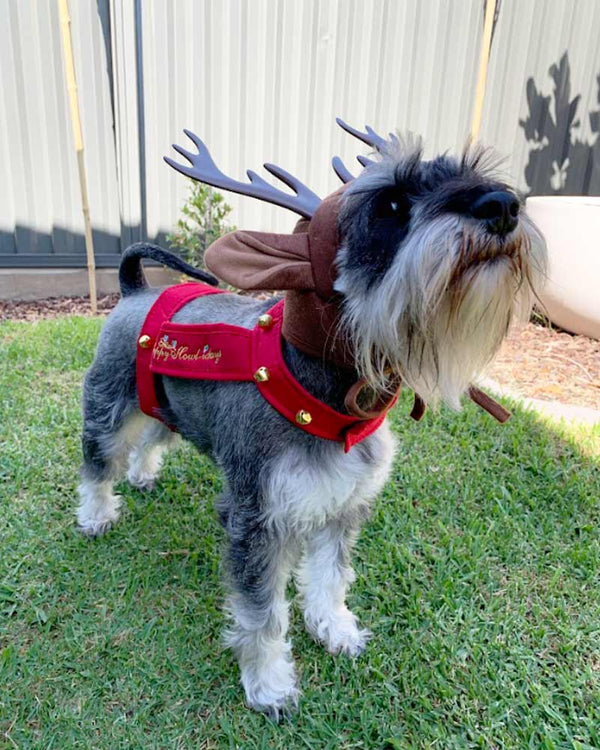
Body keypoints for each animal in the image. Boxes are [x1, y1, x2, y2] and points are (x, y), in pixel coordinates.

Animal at [77, 123, 548, 724]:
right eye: (390, 204)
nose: (504, 206)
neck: (333, 401)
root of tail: (136, 290)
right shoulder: (257, 522)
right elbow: (261, 613)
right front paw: (269, 684)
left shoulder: (345, 508)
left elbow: (330, 578)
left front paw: (335, 629)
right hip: (109, 408)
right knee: (98, 462)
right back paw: (96, 514)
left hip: (167, 404)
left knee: (154, 436)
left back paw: (142, 474)